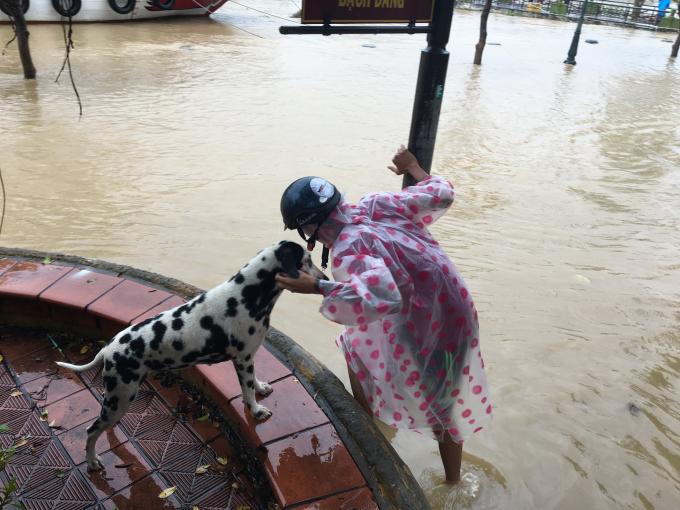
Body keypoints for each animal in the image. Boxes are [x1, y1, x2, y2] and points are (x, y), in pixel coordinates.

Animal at [57, 241, 326, 472]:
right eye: (308, 259)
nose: (324, 279)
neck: (246, 295)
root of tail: (110, 348)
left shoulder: (249, 358)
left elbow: (255, 383)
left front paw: (261, 388)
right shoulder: (242, 359)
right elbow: (247, 392)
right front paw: (257, 410)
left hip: (120, 400)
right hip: (119, 398)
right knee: (91, 431)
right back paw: (92, 462)